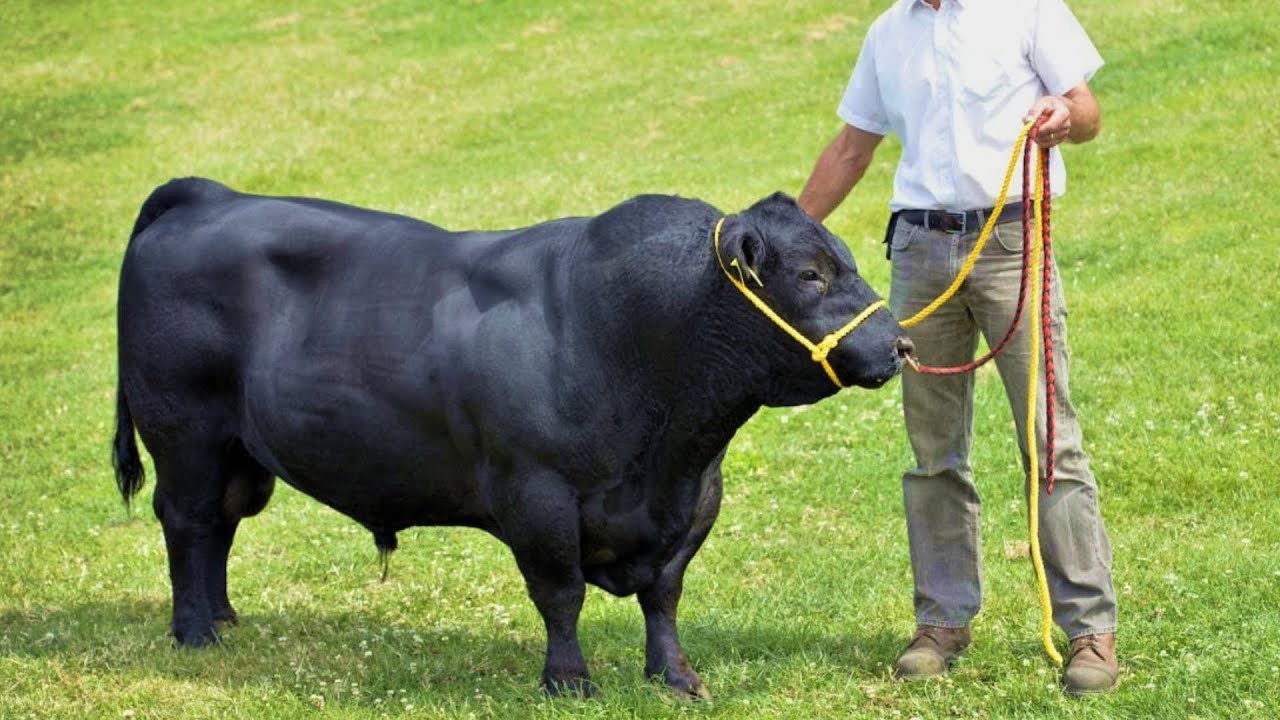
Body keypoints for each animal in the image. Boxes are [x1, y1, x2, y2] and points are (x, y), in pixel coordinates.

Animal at [112, 178, 909, 698]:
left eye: (850, 258)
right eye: (809, 273)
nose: (898, 343)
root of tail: (210, 196)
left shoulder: (696, 496)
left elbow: (664, 595)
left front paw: (675, 677)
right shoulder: (537, 494)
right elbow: (560, 594)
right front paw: (568, 681)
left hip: (239, 454)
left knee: (220, 524)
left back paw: (224, 616)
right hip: (184, 432)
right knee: (186, 521)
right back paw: (194, 631)